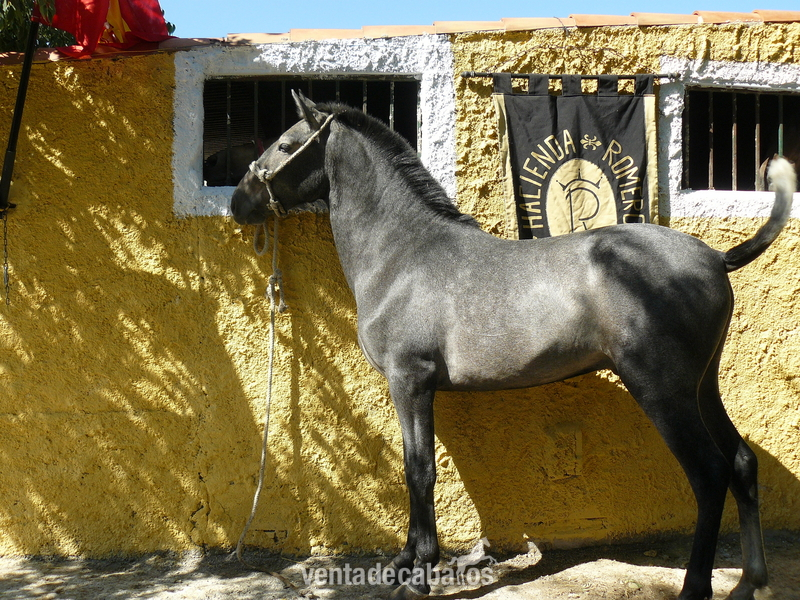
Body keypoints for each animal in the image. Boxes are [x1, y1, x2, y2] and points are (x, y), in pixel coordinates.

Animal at [230, 90, 796, 600]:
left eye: (285, 145)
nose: (239, 202)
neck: (404, 254)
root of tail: (715, 258)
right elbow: (415, 471)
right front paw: (405, 563)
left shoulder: (410, 382)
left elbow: (419, 471)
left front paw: (419, 574)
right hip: (701, 388)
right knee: (742, 463)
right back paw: (750, 581)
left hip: (664, 393)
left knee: (710, 474)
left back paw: (697, 586)